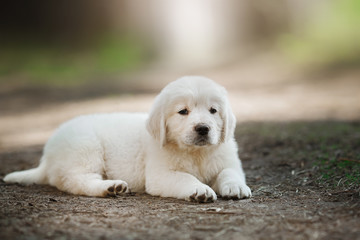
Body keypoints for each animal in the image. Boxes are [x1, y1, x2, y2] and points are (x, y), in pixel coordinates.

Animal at [4, 76, 250, 202]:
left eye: (213, 110)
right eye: (183, 111)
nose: (203, 129)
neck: (196, 153)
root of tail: (47, 157)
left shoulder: (228, 160)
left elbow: (229, 172)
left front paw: (236, 186)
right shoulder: (161, 175)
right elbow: (185, 178)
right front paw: (200, 190)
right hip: (85, 149)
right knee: (78, 181)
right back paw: (110, 187)